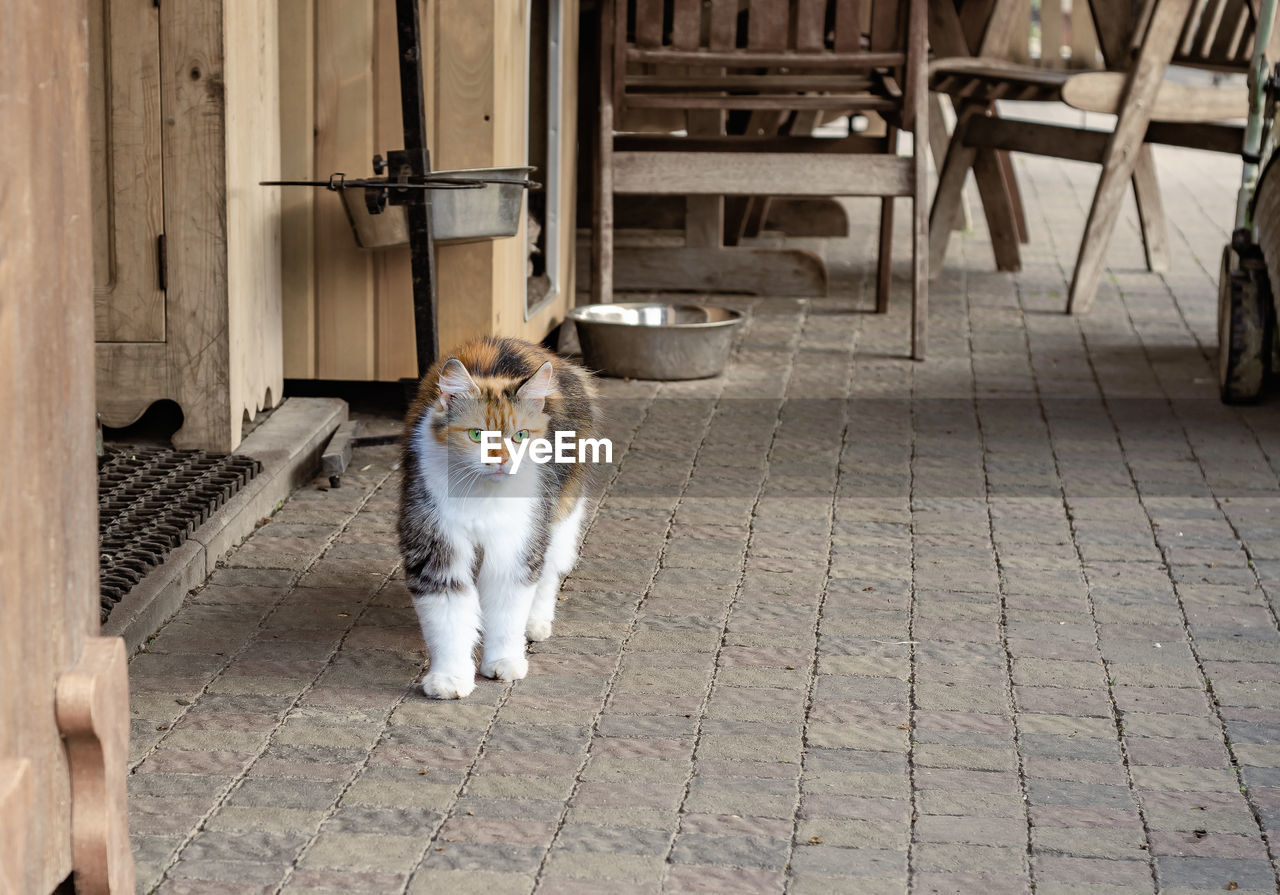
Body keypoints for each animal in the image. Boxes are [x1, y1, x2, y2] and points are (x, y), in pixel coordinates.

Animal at [396, 335, 596, 701]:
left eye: (520, 436)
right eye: (477, 435)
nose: (501, 460)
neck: (483, 497)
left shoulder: (515, 546)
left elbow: (507, 614)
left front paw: (504, 661)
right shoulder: (436, 546)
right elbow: (449, 621)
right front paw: (450, 678)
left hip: (558, 518)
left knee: (547, 575)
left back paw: (535, 624)